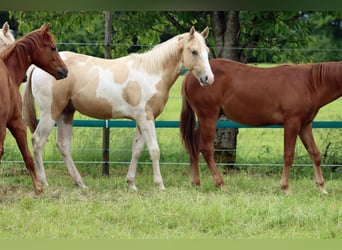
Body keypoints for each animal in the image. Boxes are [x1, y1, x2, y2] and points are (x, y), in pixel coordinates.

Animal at [23, 26, 214, 190]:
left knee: (63, 145)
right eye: (194, 51)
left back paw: (80, 183)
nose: (209, 78)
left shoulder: (140, 121)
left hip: (66, 113)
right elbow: (154, 150)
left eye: (207, 51)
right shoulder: (146, 118)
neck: (150, 72)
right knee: (38, 141)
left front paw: (131, 183)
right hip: (50, 113)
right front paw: (159, 185)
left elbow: (137, 150)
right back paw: (44, 182)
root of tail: (36, 67)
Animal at [179, 58, 342, 193]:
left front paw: (322, 187)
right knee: (206, 149)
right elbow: (288, 155)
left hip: (204, 119)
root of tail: (190, 76)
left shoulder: (304, 125)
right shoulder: (292, 122)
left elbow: (315, 154)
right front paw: (285, 187)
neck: (309, 83)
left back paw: (195, 182)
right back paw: (221, 184)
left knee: (194, 145)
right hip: (208, 117)